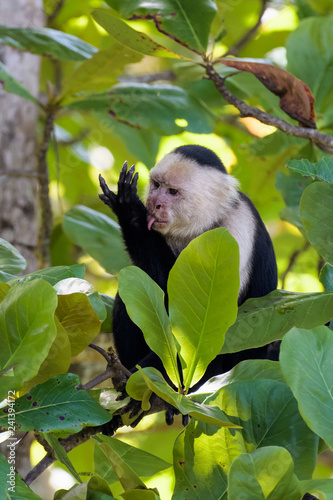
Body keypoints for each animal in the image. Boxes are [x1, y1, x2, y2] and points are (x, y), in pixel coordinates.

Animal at [98, 145, 278, 430]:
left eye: (172, 192)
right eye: (156, 185)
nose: (154, 203)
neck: (201, 225)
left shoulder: (235, 229)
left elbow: (218, 327)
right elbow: (154, 285)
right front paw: (131, 213)